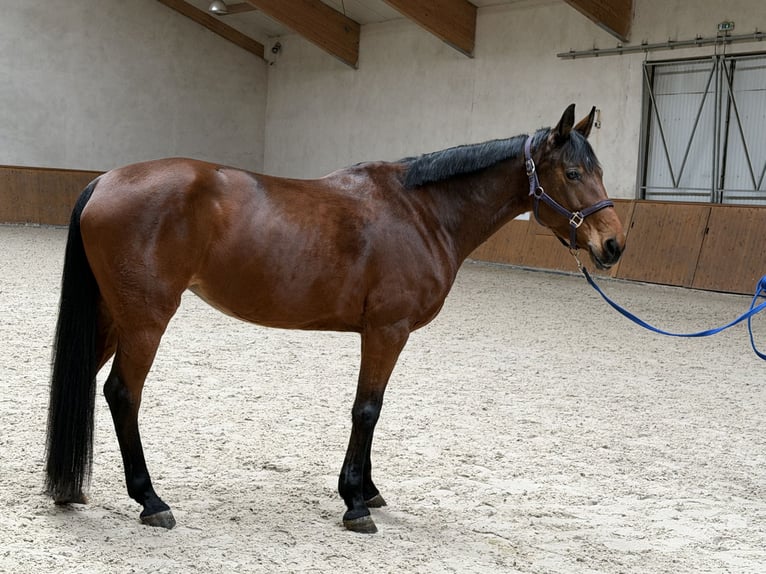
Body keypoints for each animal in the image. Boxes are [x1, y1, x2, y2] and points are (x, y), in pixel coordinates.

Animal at [45, 104, 625, 534]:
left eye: (600, 171)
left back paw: (68, 488)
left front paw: (368, 489)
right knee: (122, 393)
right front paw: (355, 503)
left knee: (84, 380)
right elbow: (367, 409)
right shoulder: (386, 331)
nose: (614, 245)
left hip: (111, 317)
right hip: (144, 319)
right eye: (572, 173)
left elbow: (372, 409)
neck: (422, 213)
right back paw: (151, 500)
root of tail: (105, 181)